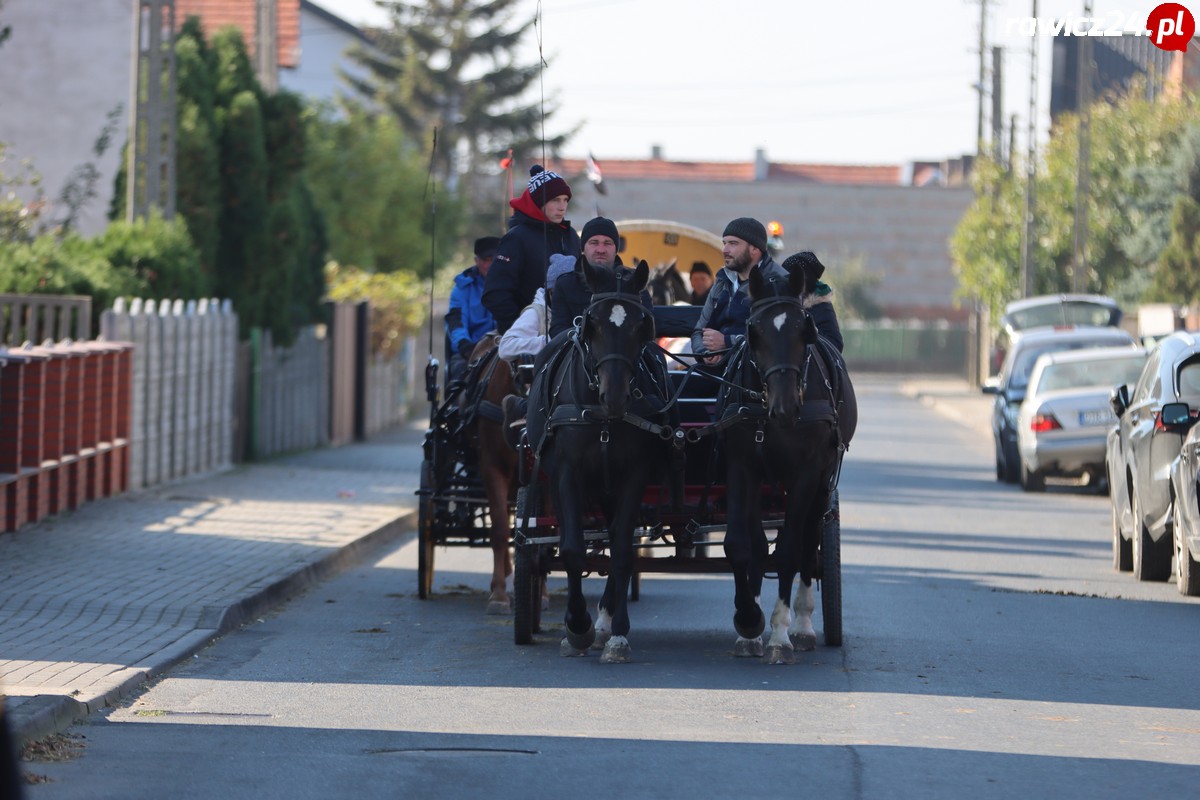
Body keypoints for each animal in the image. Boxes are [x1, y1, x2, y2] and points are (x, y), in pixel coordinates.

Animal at [528, 257, 676, 662]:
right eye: (590, 324)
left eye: (643, 325)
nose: (615, 396)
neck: (602, 418)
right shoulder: (567, 475)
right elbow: (573, 549)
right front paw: (577, 626)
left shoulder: (633, 477)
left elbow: (623, 550)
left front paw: (617, 633)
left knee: (614, 538)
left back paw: (607, 618)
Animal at [715, 262, 859, 662]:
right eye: (755, 331)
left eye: (803, 330)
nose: (785, 409)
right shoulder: (742, 467)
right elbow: (742, 545)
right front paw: (748, 620)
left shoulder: (807, 474)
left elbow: (790, 550)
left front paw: (779, 634)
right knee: (763, 545)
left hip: (823, 483)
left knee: (808, 541)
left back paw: (803, 625)